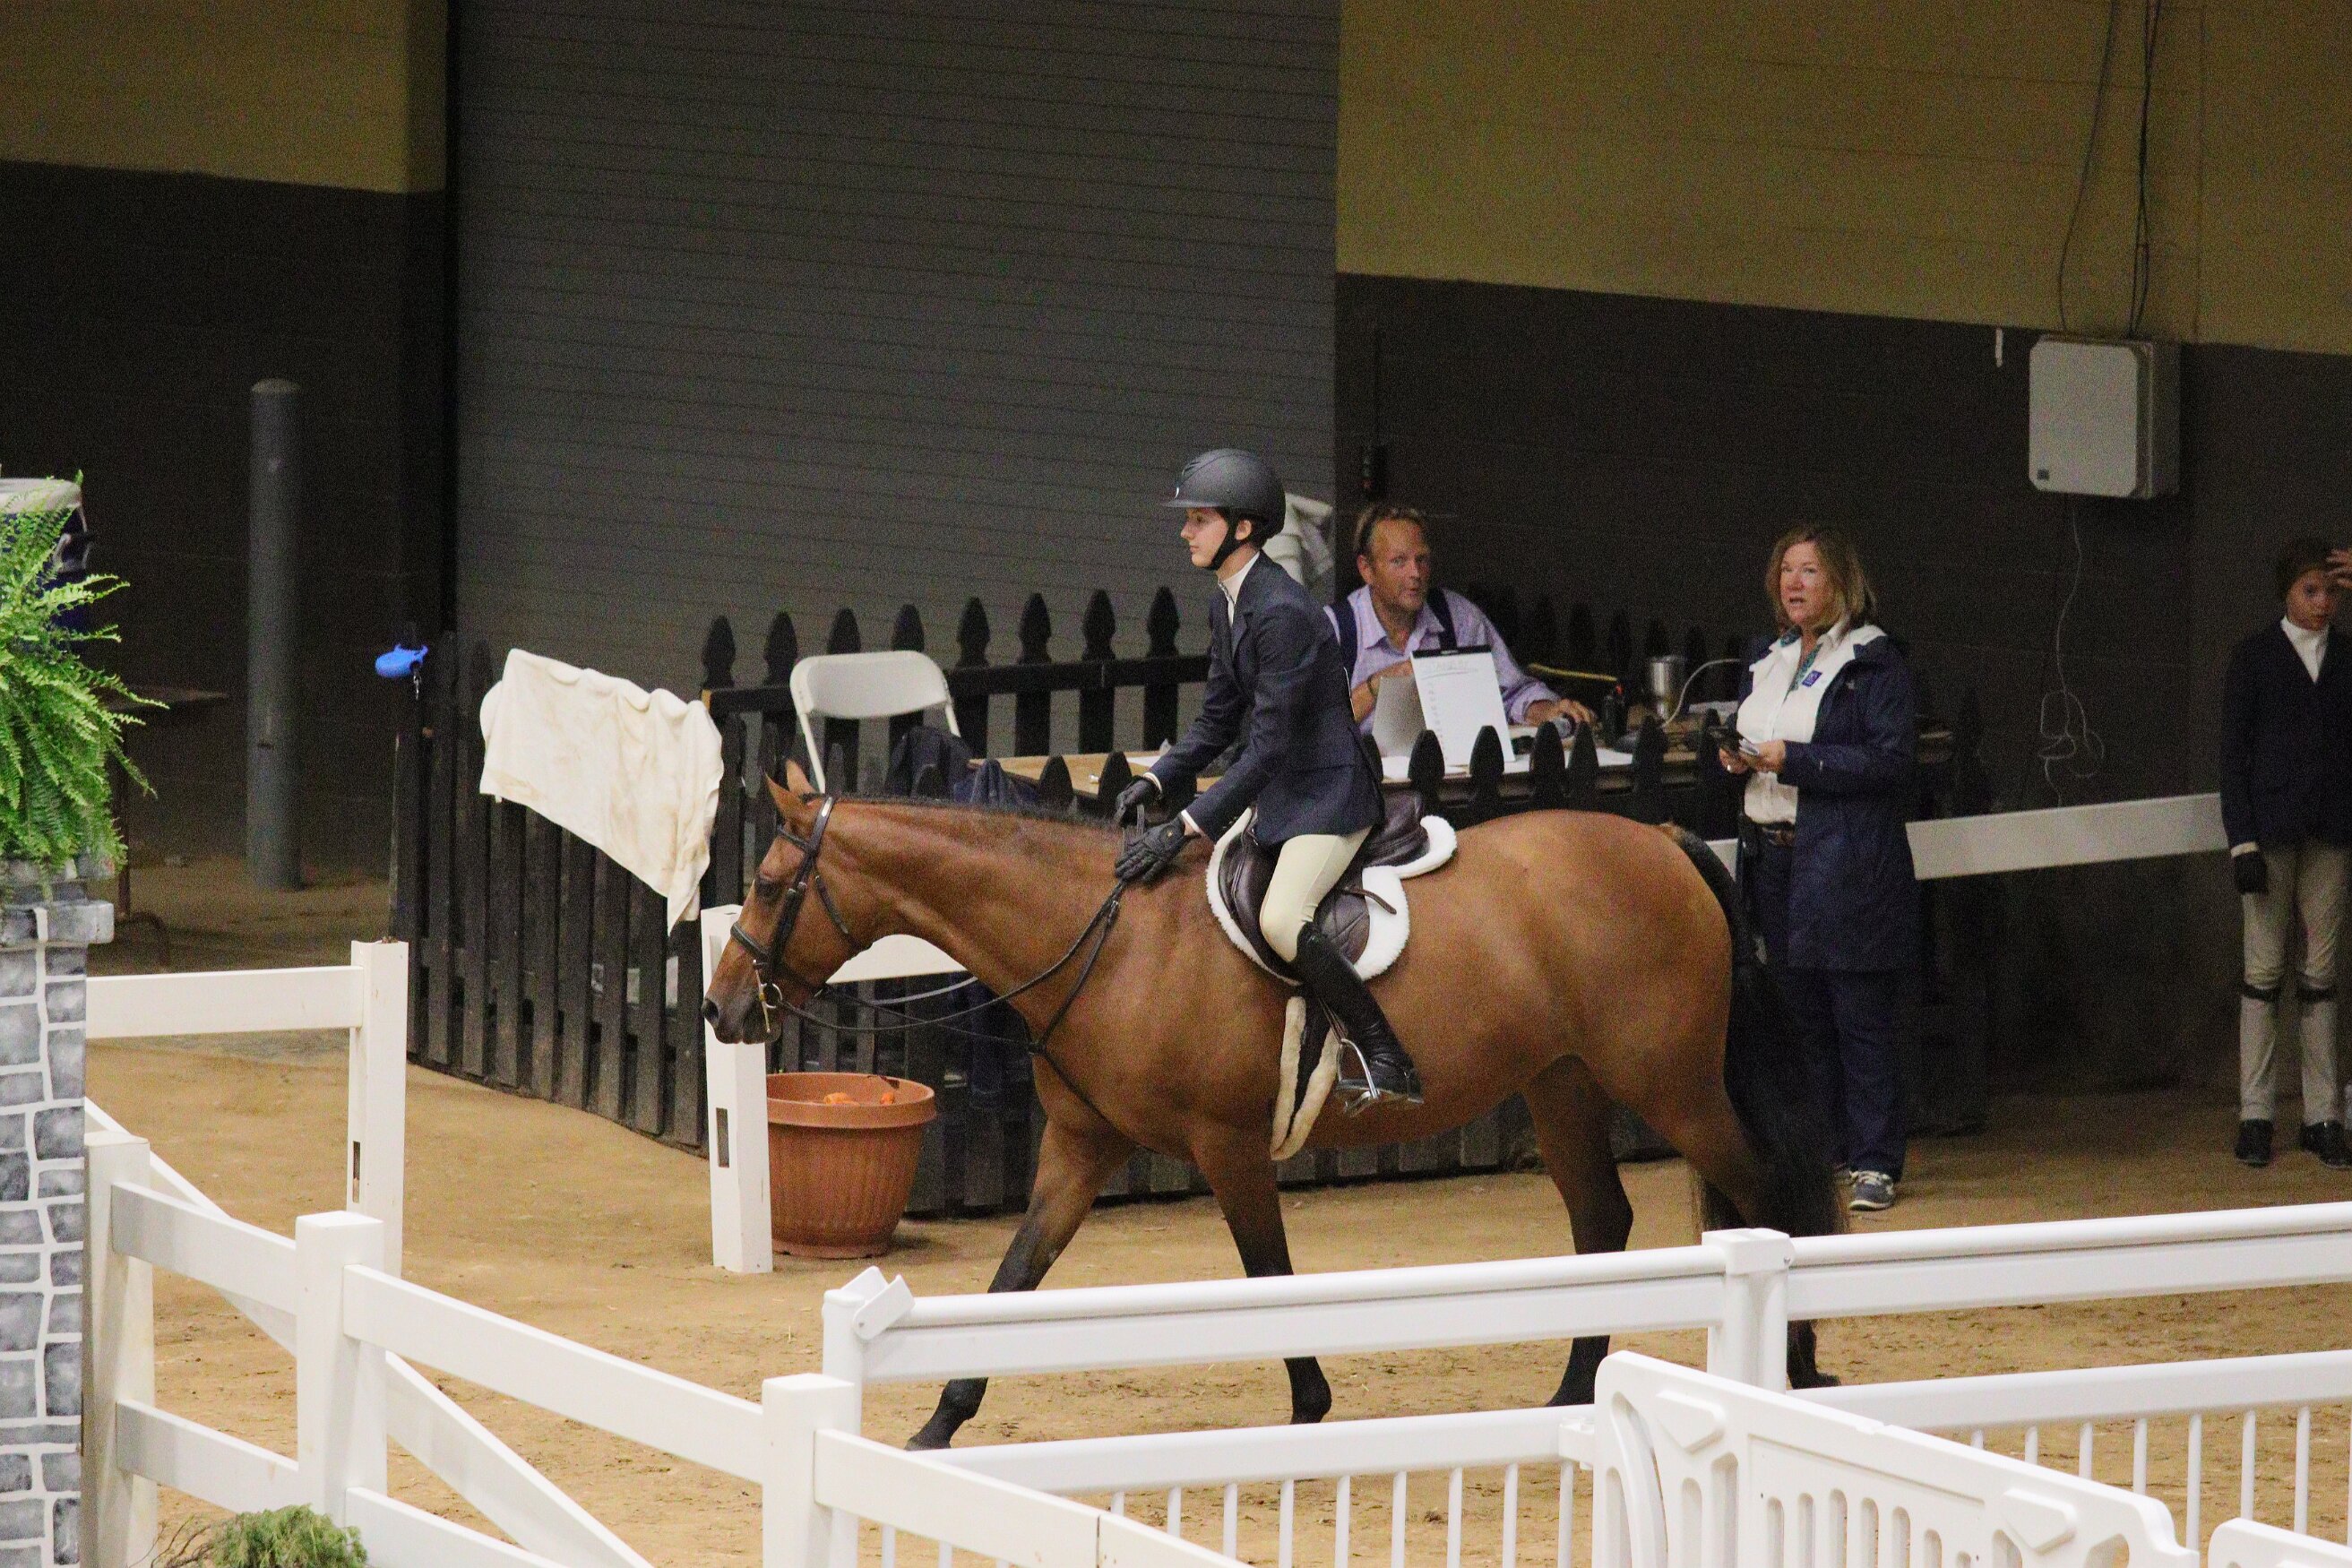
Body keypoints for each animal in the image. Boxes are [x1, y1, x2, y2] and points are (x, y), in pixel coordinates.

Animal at [703, 762, 1841, 1449]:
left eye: (770, 884)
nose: (721, 1009)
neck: (1104, 936)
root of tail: (1664, 836)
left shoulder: (1228, 1145)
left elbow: (1267, 1275)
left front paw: (1308, 1409)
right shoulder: (1081, 1146)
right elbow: (1015, 1277)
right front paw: (935, 1430)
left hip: (1670, 1083)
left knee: (1762, 1195)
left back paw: (1790, 1367)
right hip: (1559, 1081)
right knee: (1605, 1219)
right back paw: (1566, 1397)